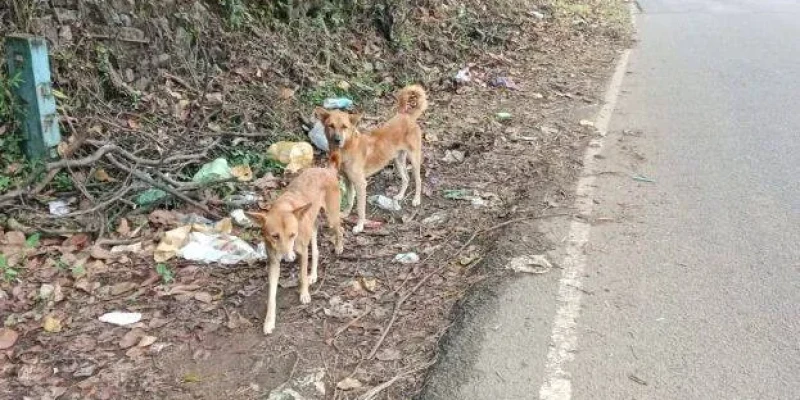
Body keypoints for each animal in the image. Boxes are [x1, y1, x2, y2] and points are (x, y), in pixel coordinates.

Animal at [245, 156, 342, 334]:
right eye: (275, 236)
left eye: (292, 235)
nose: (288, 259)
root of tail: (327, 169)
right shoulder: (274, 262)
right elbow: (271, 295)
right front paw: (269, 321)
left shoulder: (302, 253)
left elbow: (302, 275)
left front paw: (304, 294)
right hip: (312, 223)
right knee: (316, 251)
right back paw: (314, 275)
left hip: (332, 218)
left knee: (341, 230)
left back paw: (339, 247)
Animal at [316, 85, 428, 234]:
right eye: (331, 125)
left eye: (344, 127)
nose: (337, 140)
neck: (347, 149)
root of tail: (407, 116)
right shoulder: (347, 180)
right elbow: (350, 200)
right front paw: (345, 214)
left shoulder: (361, 184)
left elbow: (360, 209)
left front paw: (360, 226)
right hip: (398, 161)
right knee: (406, 178)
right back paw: (399, 196)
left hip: (414, 159)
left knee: (418, 180)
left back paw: (416, 200)